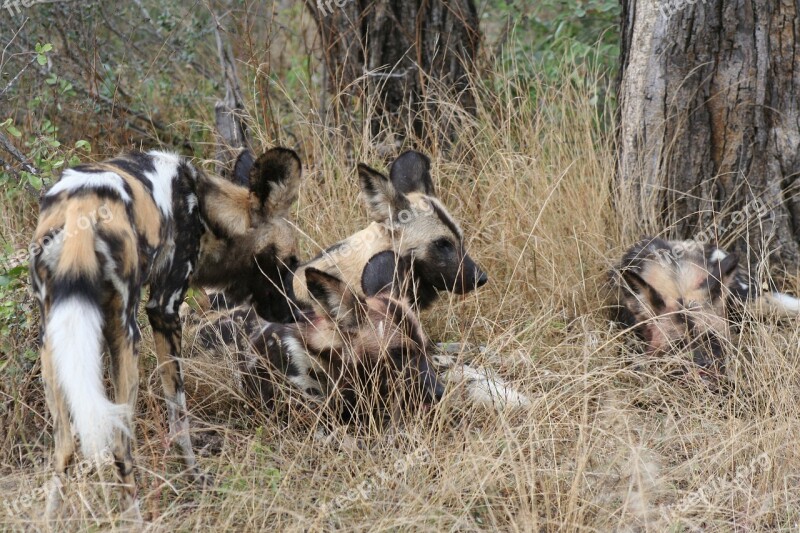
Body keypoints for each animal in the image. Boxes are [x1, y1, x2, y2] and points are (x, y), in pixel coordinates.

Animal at [29, 147, 302, 516]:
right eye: (288, 263)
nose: (295, 312)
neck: (205, 209)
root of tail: (80, 211)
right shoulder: (165, 309)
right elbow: (179, 414)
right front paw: (196, 478)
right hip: (126, 333)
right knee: (120, 444)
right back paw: (135, 518)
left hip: (54, 340)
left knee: (64, 449)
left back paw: (50, 518)